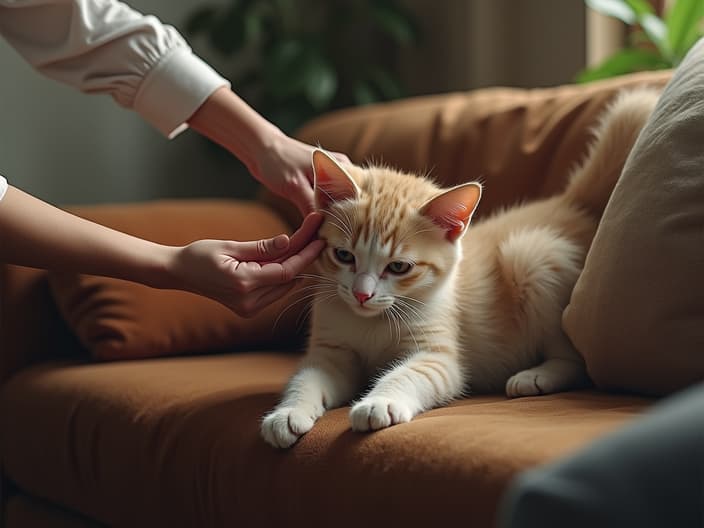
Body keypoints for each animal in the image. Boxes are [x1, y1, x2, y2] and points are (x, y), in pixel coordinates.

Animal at [262, 88, 660, 448]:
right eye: (344, 256)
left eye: (399, 267)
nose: (362, 294)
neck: (371, 322)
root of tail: (571, 204)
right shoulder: (331, 352)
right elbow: (307, 377)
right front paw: (288, 413)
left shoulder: (438, 356)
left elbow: (409, 374)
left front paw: (380, 402)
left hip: (532, 255)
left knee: (575, 359)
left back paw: (537, 376)